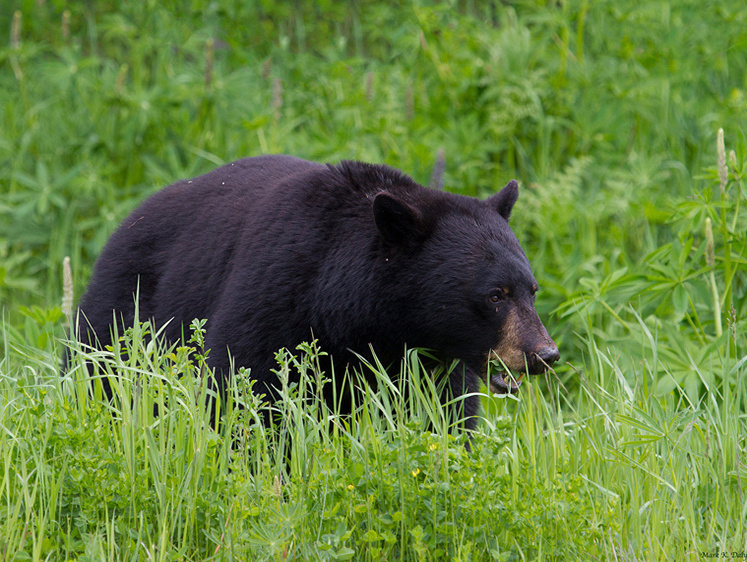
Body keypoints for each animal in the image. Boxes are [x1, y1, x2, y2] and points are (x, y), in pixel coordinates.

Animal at [73, 155, 560, 430]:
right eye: (494, 295)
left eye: (531, 290)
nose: (544, 353)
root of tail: (123, 223)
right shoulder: (277, 293)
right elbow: (245, 393)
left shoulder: (430, 361)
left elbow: (445, 417)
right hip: (124, 317)